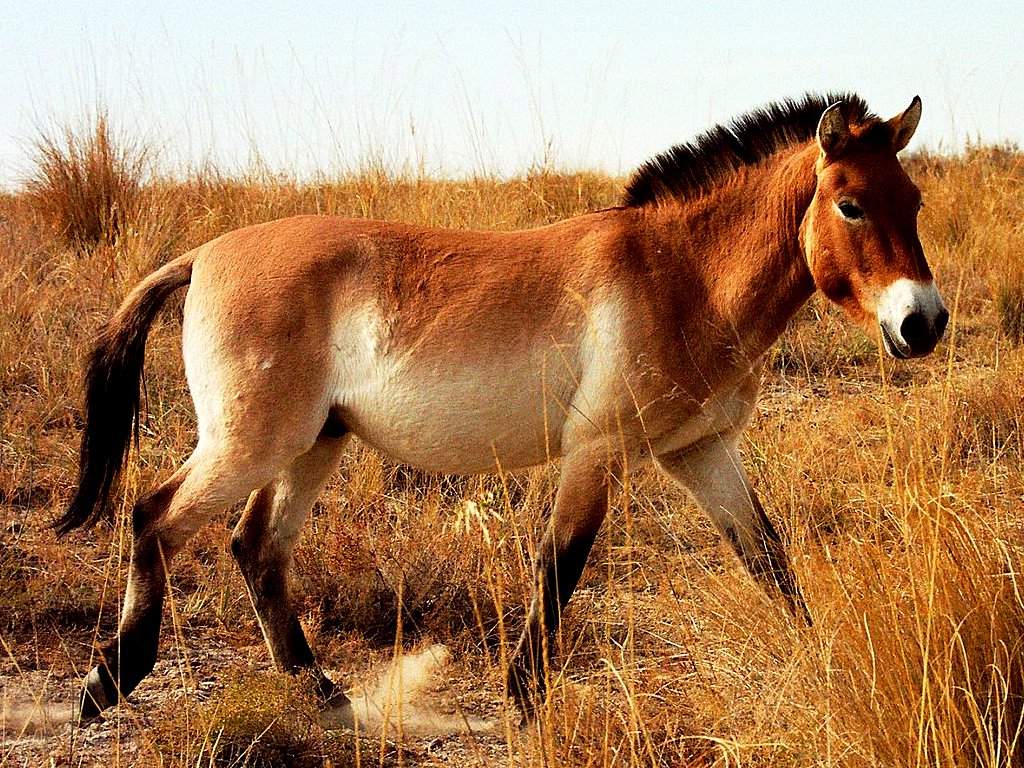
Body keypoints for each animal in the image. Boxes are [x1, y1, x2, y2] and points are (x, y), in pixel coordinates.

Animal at [58, 93, 942, 724]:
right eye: (851, 204)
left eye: (915, 201)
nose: (922, 323)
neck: (681, 273)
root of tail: (203, 255)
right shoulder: (598, 450)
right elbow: (559, 568)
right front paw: (522, 703)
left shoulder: (699, 450)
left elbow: (768, 560)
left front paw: (824, 666)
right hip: (251, 442)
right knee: (155, 516)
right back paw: (110, 680)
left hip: (313, 444)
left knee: (255, 547)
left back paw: (320, 693)